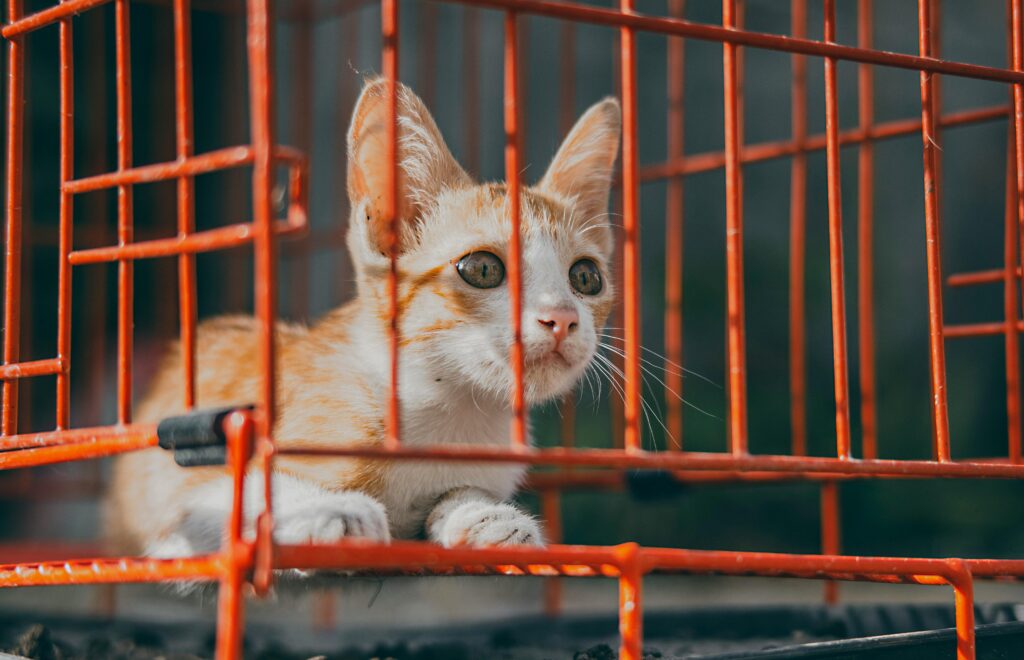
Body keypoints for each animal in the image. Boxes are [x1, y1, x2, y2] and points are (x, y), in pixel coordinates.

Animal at [108, 79, 622, 556]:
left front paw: (487, 515)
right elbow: (234, 491)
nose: (560, 318)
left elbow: (459, 492)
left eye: (586, 277)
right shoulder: (177, 498)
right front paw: (331, 508)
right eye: (482, 269)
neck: (447, 411)